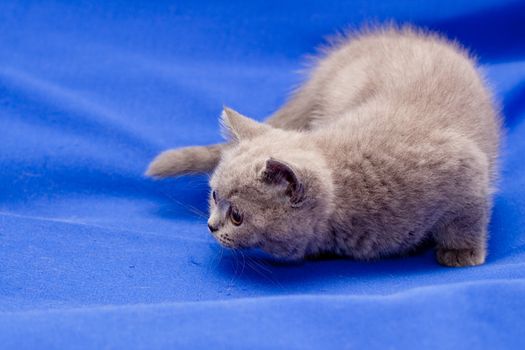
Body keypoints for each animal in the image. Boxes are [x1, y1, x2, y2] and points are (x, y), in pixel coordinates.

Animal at [146, 26, 500, 268]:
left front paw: (461, 252)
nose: (210, 225)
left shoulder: (466, 170)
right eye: (214, 195)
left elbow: (468, 216)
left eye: (237, 216)